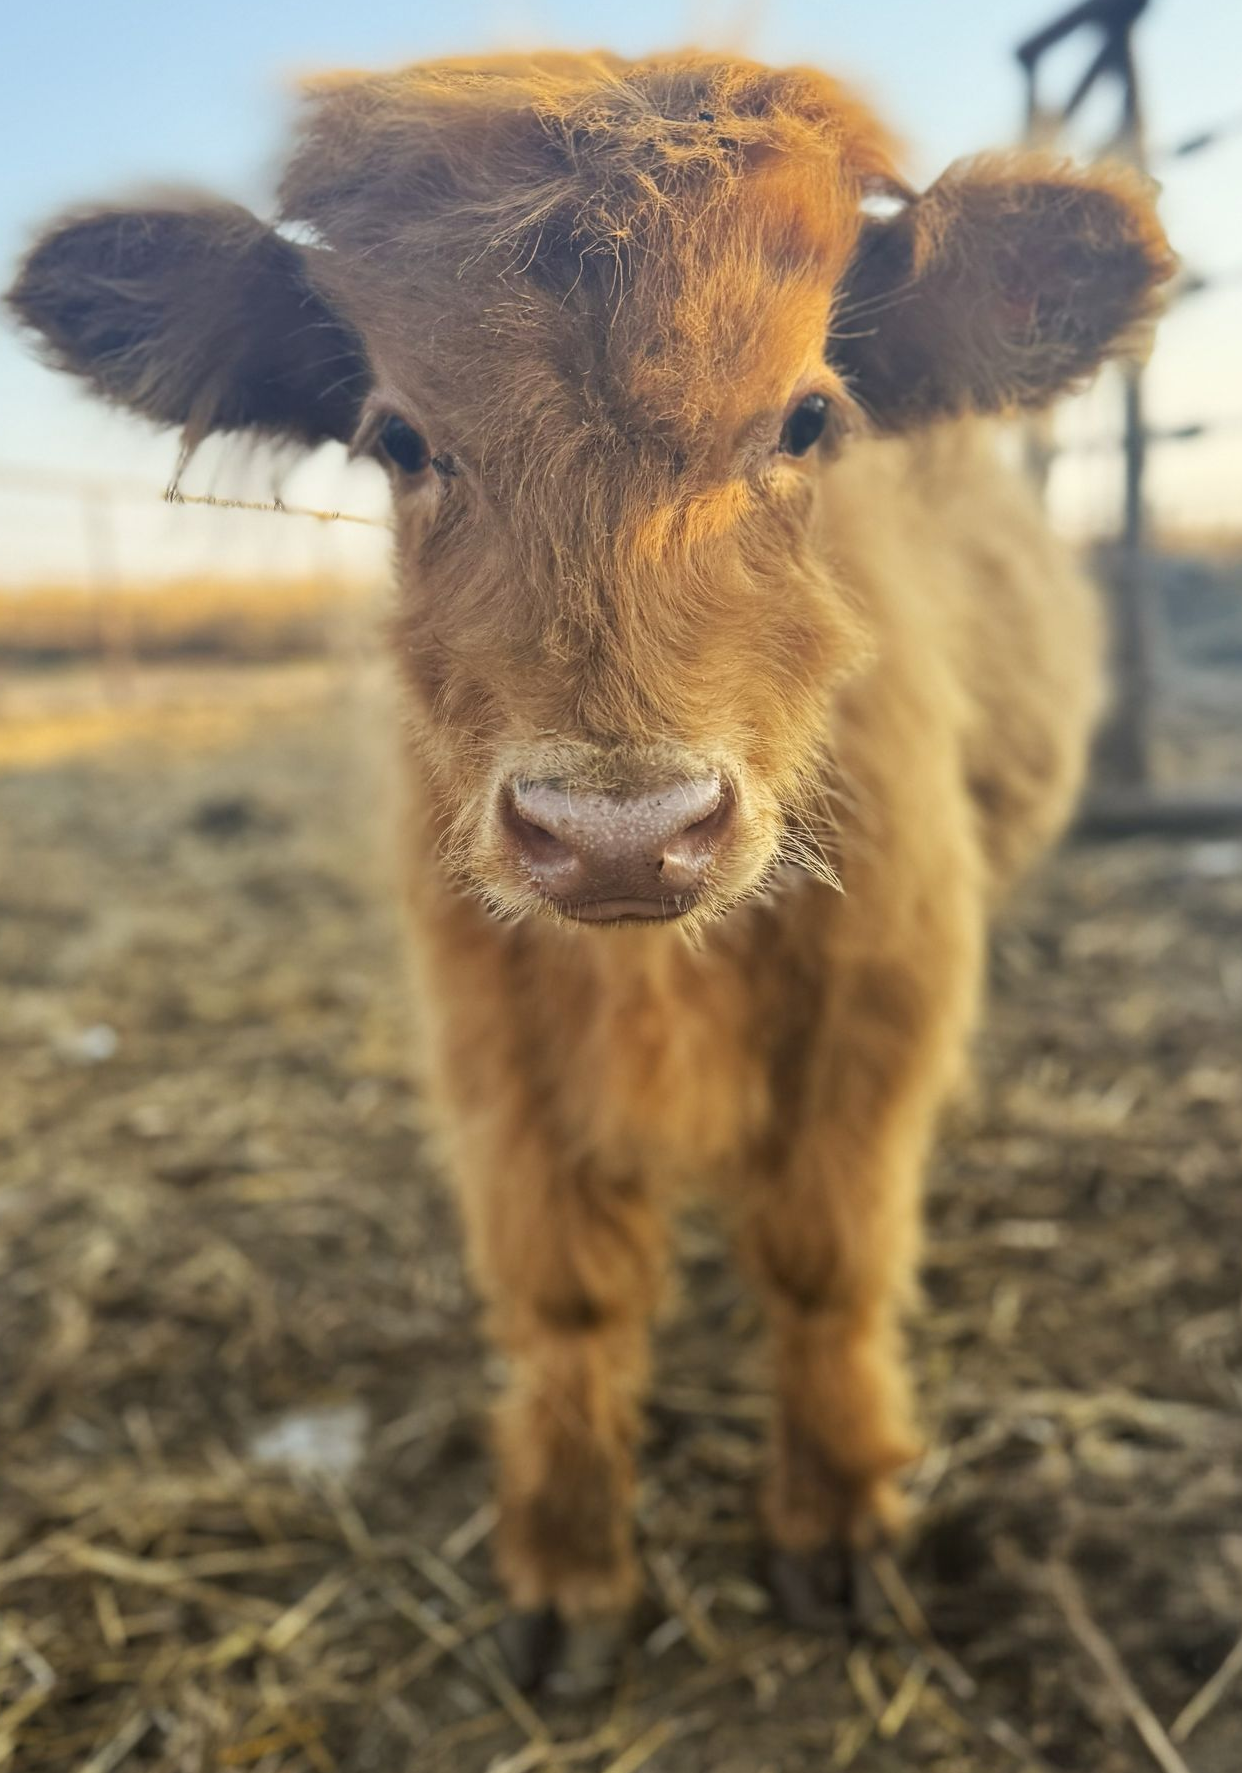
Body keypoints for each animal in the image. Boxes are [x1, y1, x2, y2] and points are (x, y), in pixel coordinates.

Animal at [8, 50, 1174, 1690]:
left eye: (807, 420)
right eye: (398, 439)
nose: (623, 828)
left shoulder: (885, 990)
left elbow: (826, 1257)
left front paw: (836, 1518)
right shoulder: (491, 1023)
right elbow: (565, 1290)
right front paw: (567, 1570)